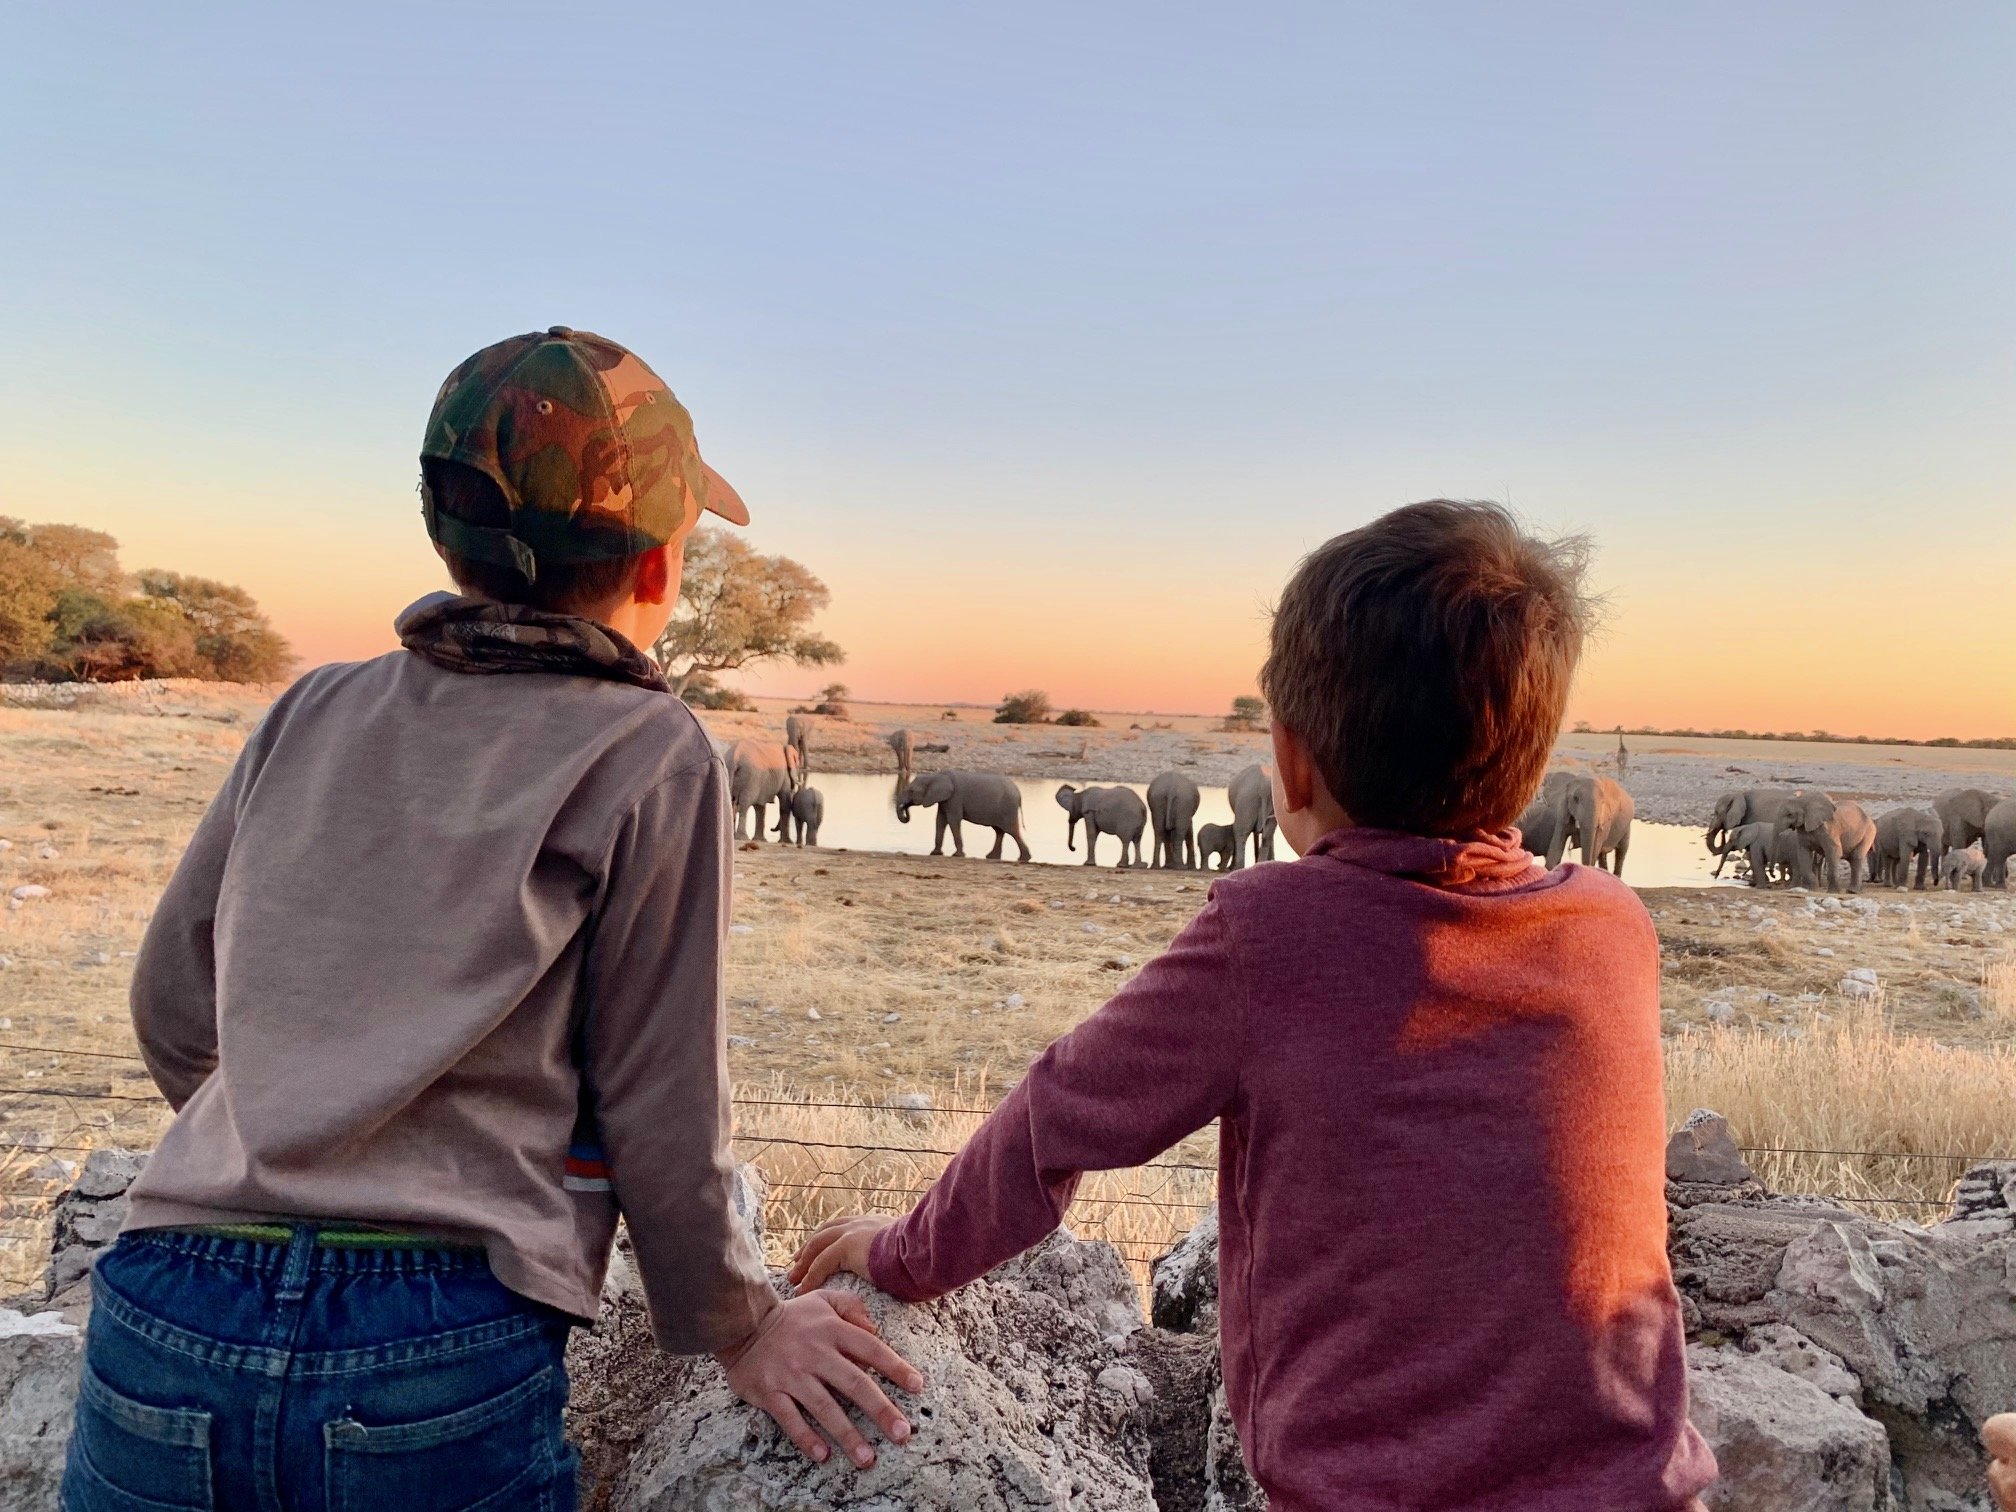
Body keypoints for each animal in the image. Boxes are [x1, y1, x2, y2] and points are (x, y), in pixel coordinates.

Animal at [903, 770, 1032, 862]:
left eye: (911, 791)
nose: (906, 810)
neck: (936, 776)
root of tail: (1019, 793)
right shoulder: (945, 800)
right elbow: (940, 821)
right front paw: (935, 853)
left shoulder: (955, 798)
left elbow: (953, 820)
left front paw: (957, 855)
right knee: (999, 831)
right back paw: (992, 857)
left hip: (1008, 808)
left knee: (1012, 831)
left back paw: (1024, 859)